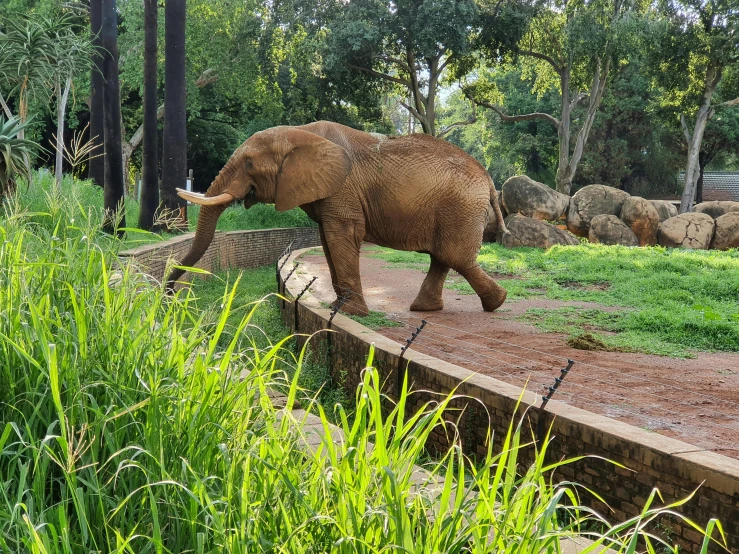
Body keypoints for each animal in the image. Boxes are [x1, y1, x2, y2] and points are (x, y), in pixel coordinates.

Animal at [169, 121, 508, 314]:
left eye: (249, 164)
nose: (170, 295)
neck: (299, 132)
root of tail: (489, 180)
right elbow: (326, 238)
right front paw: (338, 307)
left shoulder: (342, 188)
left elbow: (340, 235)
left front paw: (351, 314)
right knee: (442, 257)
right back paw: (426, 310)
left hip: (460, 207)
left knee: (453, 256)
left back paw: (496, 304)